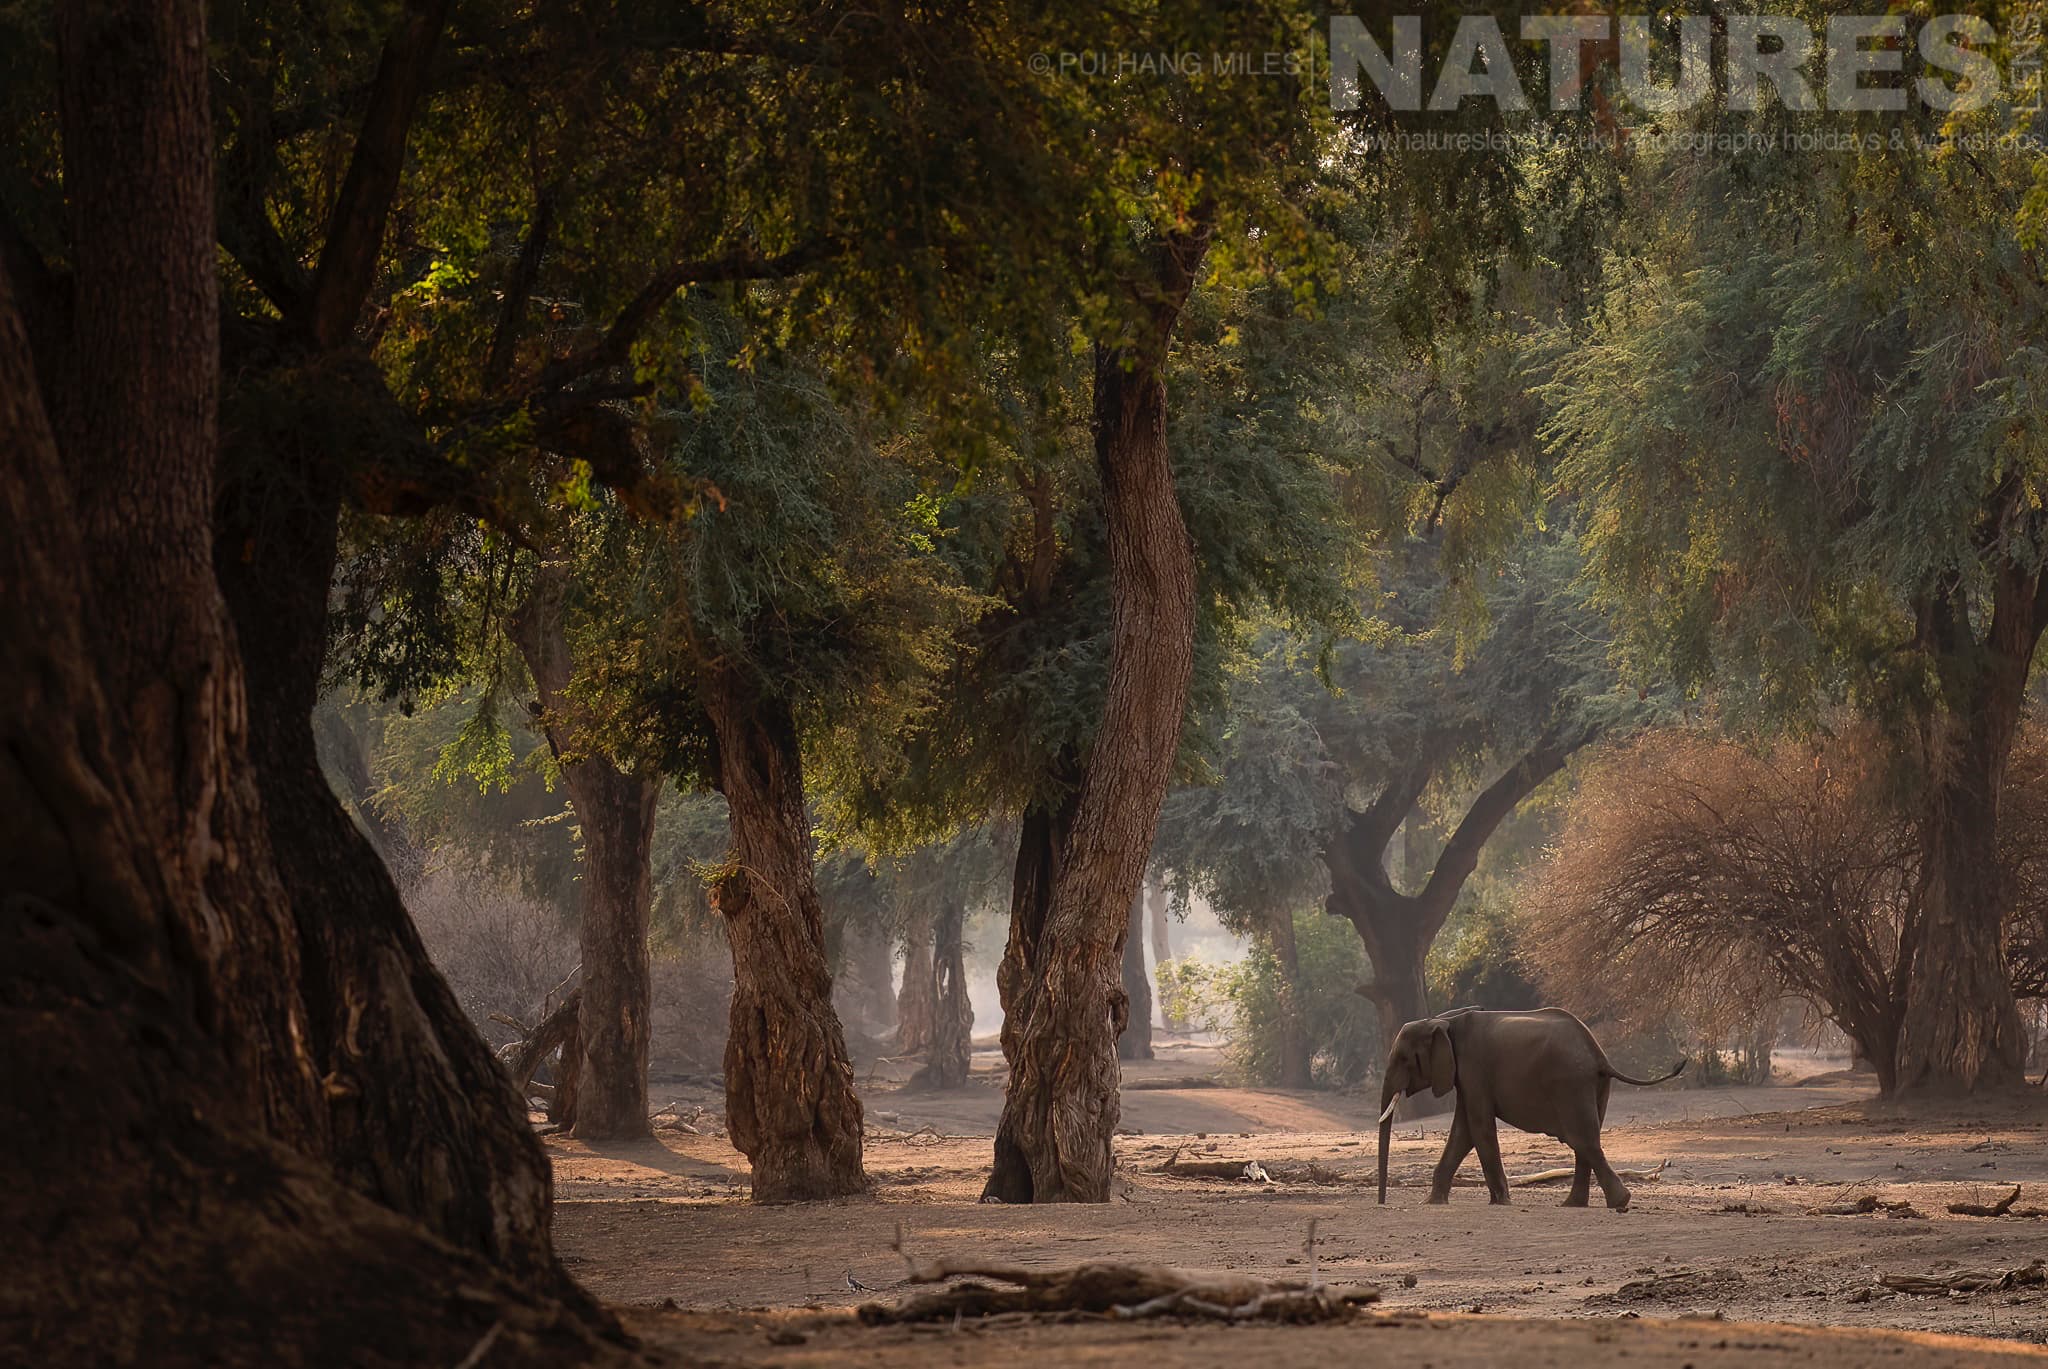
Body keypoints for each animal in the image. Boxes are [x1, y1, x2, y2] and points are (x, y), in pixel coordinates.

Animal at [1374, 1007, 1685, 1211]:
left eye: (1403, 1059)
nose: (1381, 1203)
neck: (1443, 1020)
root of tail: (1599, 1056)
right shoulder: (1466, 1075)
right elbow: (1464, 1131)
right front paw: (1431, 1202)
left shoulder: (1473, 1067)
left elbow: (1478, 1127)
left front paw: (1501, 1203)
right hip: (1595, 1085)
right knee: (1585, 1140)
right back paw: (1573, 1205)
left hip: (1569, 1082)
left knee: (1583, 1139)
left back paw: (1619, 1203)